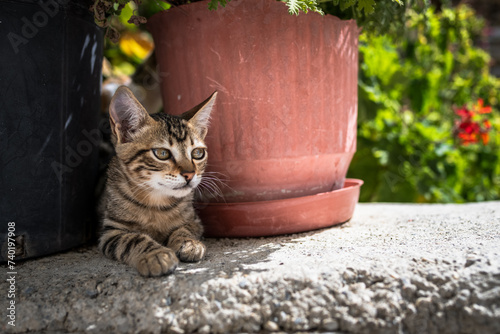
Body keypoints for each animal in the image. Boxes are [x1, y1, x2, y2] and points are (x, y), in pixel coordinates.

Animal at [99, 86, 217, 276]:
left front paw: (188, 243)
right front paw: (156, 255)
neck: (157, 202)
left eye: (198, 153)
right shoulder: (111, 232)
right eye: (162, 153)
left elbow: (185, 228)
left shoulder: (194, 221)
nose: (190, 174)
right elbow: (133, 239)